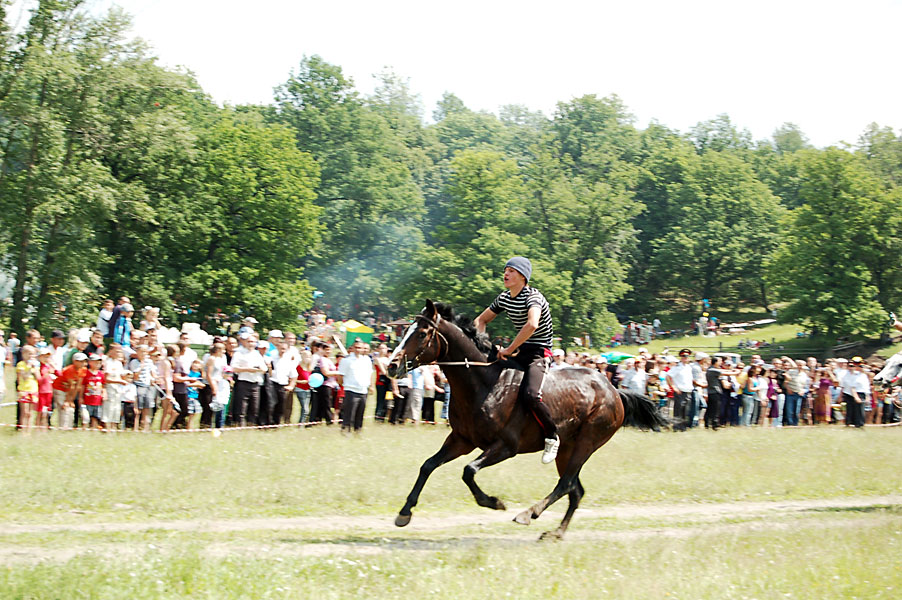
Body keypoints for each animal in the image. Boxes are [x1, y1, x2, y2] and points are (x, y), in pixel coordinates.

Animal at [388, 300, 672, 540]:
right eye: (406, 330)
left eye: (422, 333)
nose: (391, 365)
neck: (483, 383)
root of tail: (614, 391)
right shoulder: (461, 440)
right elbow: (427, 465)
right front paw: (404, 512)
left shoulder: (506, 446)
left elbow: (469, 471)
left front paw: (494, 502)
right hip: (566, 449)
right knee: (576, 490)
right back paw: (556, 532)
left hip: (587, 442)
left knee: (566, 484)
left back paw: (528, 514)